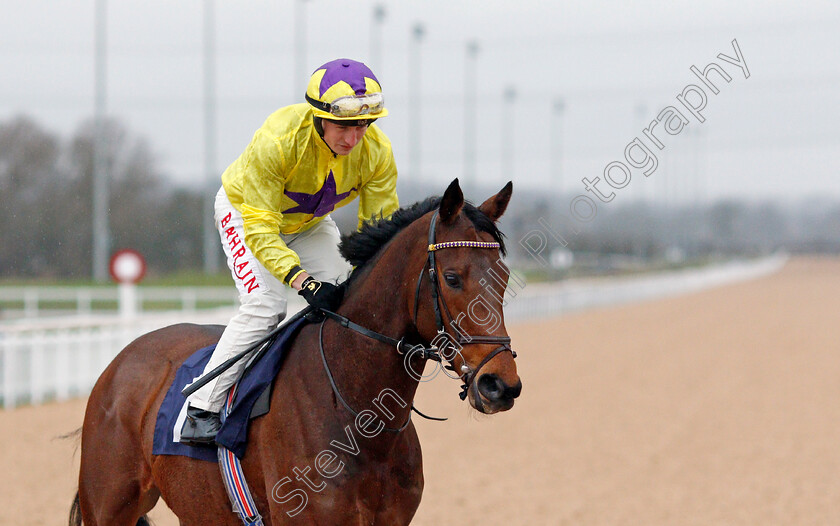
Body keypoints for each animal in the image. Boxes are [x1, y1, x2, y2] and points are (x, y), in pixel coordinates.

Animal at [69, 179, 520, 524]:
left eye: (503, 277)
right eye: (452, 277)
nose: (500, 385)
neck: (356, 413)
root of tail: (121, 361)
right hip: (109, 505)